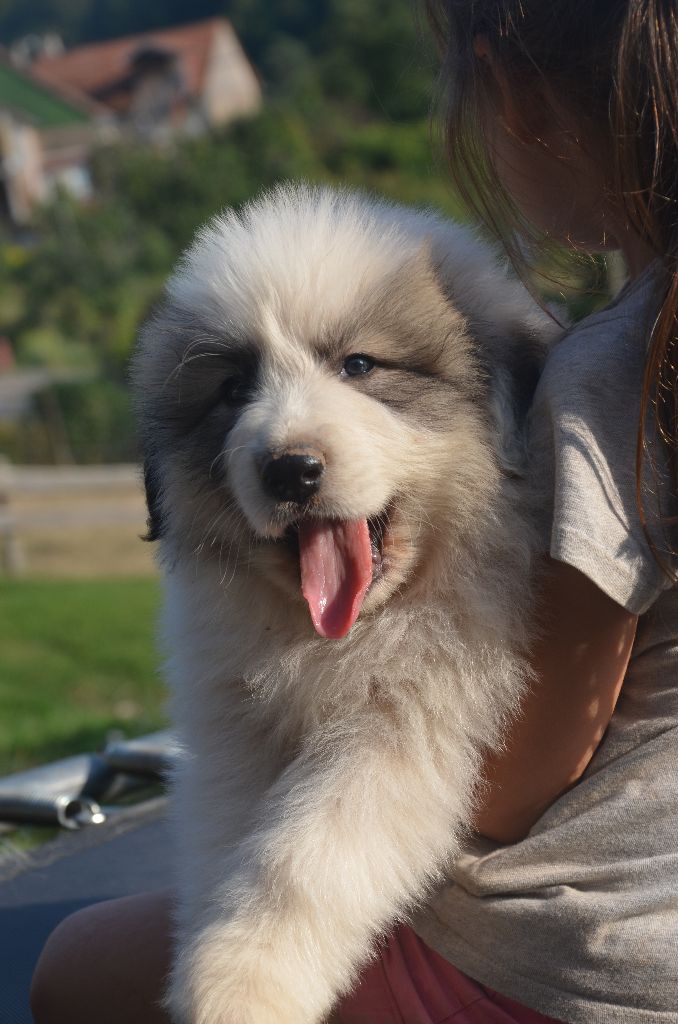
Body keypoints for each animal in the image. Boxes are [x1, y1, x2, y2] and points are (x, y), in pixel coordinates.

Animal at [133, 186, 557, 1024]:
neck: (335, 638)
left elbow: (300, 857)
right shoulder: (234, 727)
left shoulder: (404, 724)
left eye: (359, 365)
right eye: (233, 390)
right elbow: (227, 844)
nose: (289, 470)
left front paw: (241, 986)